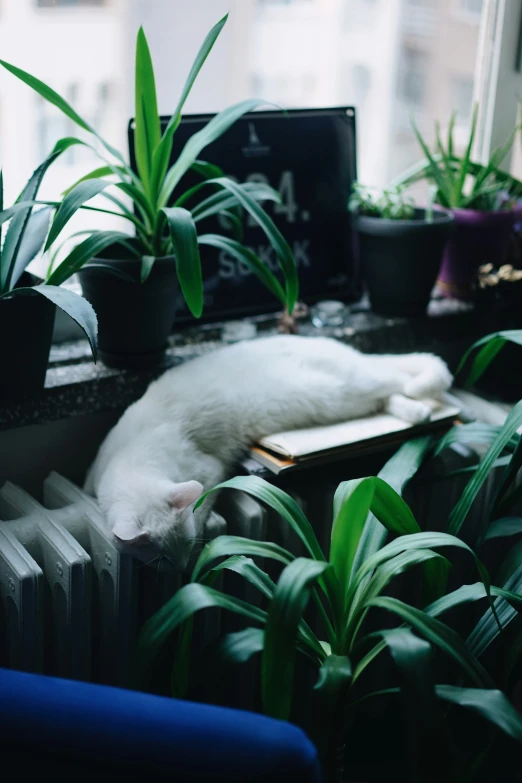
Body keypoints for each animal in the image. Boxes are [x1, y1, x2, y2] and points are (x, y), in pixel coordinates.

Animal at [83, 334, 448, 568]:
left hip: (340, 391)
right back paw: (418, 413)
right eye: (161, 557)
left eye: (187, 545)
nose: (182, 566)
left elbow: (203, 504)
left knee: (397, 379)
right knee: (386, 396)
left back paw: (422, 408)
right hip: (347, 398)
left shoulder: (209, 471)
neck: (131, 458)